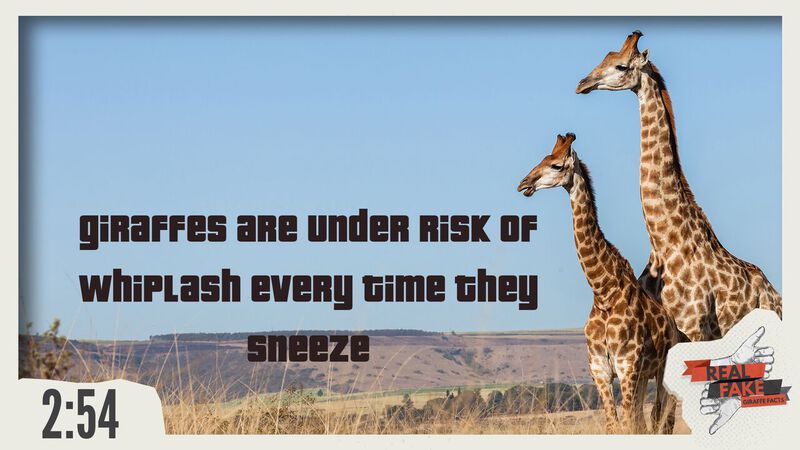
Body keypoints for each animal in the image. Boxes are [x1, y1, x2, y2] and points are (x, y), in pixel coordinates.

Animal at [517, 133, 679, 434]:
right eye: (542, 159)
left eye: (556, 165)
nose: (524, 184)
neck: (604, 293)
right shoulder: (601, 370)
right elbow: (615, 425)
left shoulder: (626, 366)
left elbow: (628, 424)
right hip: (643, 376)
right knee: (645, 419)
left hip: (661, 370)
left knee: (661, 418)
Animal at [575, 31, 782, 341]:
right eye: (604, 59)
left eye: (621, 66)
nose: (582, 84)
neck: (665, 242)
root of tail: (776, 294)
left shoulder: (695, 327)